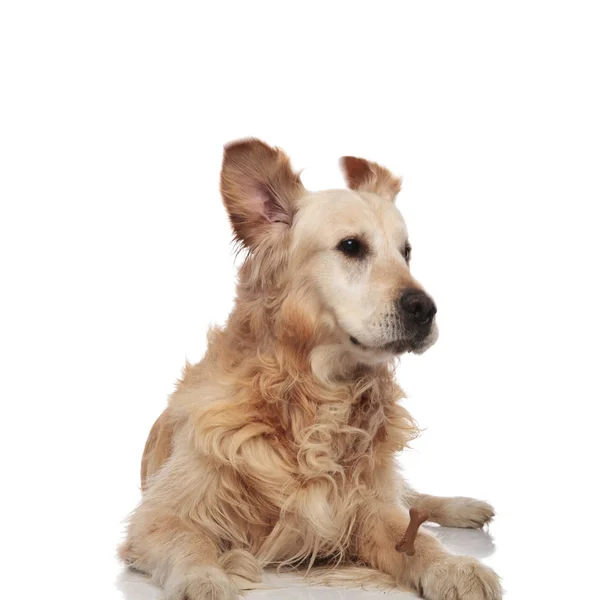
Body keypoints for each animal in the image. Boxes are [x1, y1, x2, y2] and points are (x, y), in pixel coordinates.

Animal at [118, 139, 502, 600]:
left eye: (406, 252)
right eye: (351, 246)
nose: (425, 309)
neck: (313, 396)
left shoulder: (363, 506)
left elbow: (416, 538)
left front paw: (454, 566)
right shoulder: (160, 513)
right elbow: (188, 541)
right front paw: (206, 580)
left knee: (412, 497)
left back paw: (464, 507)